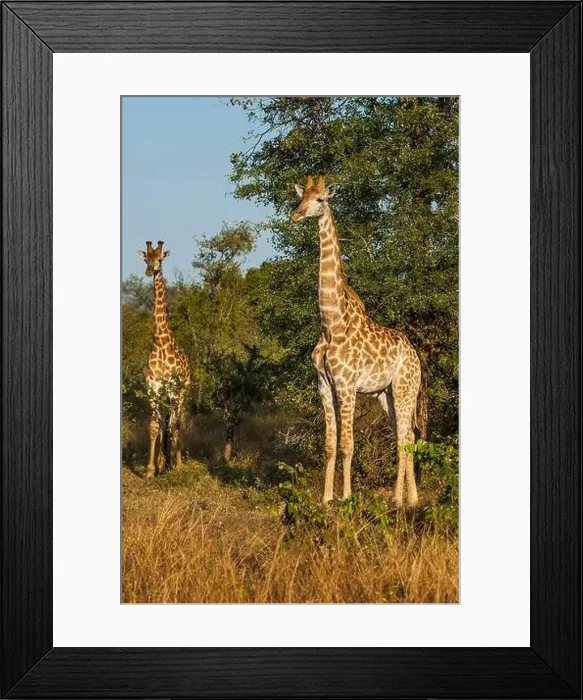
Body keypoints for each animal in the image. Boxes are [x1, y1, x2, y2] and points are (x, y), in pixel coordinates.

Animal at [292, 175, 424, 507]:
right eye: (301, 197)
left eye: (320, 200)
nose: (296, 214)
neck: (331, 324)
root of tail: (415, 355)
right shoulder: (324, 385)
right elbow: (329, 444)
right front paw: (326, 499)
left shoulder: (347, 385)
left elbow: (348, 444)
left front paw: (347, 496)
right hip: (385, 394)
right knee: (407, 436)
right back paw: (412, 499)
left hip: (405, 388)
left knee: (403, 439)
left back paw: (397, 500)